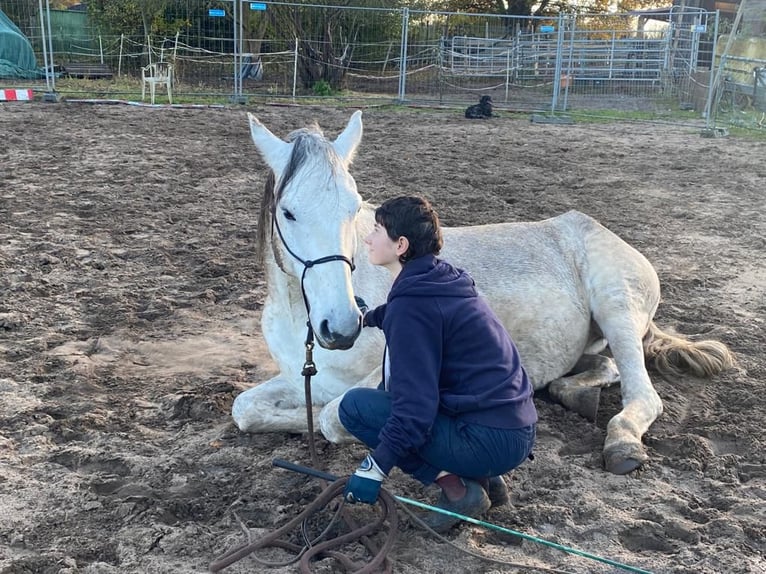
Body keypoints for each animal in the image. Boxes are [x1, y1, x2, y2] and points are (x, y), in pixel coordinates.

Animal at [231, 111, 736, 476]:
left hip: (617, 309)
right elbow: (246, 410)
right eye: (289, 212)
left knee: (641, 394)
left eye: (354, 208)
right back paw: (570, 392)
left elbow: (333, 416)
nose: (340, 327)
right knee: (604, 367)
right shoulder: (301, 377)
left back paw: (622, 441)